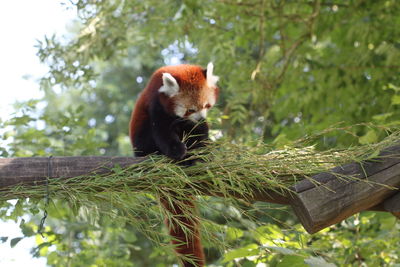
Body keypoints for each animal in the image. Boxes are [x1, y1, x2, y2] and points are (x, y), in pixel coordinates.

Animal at [129, 61, 219, 266]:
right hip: (141, 140)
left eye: (206, 105)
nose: (200, 117)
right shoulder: (156, 105)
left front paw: (201, 146)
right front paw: (177, 151)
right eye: (190, 109)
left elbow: (199, 130)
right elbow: (162, 131)